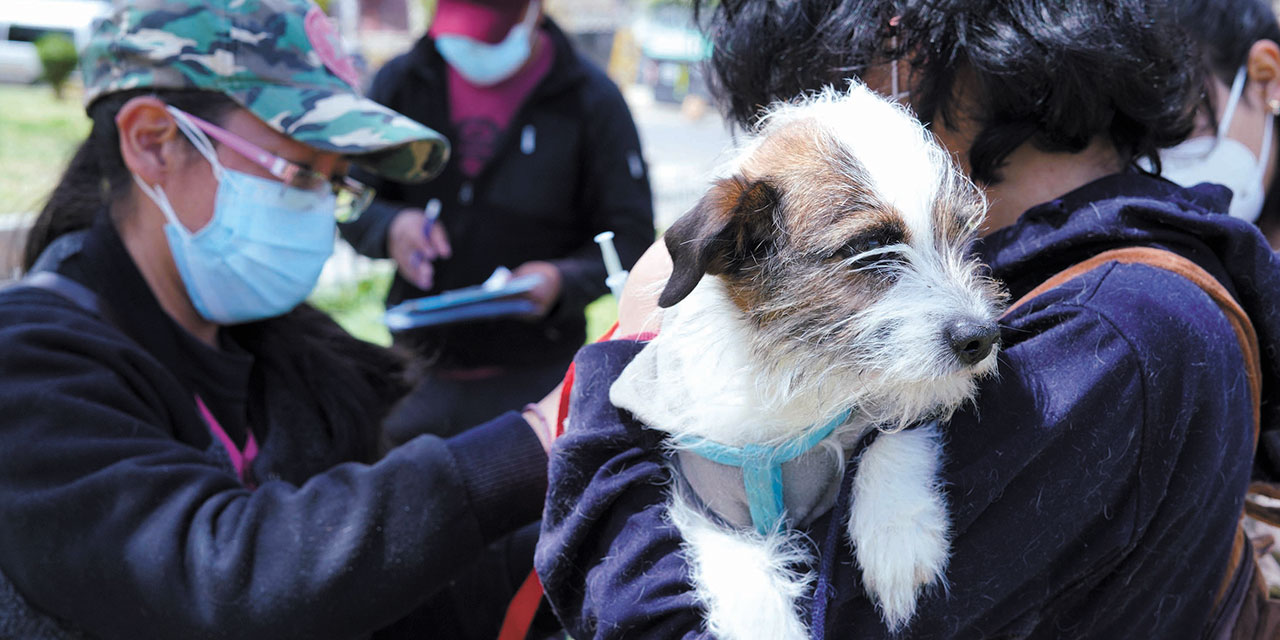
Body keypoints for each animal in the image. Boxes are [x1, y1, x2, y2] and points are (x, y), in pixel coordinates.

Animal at [609, 83, 1008, 634]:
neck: (795, 369)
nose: (981, 337)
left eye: (961, 236)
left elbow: (889, 429)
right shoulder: (711, 507)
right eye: (870, 248)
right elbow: (748, 587)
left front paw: (897, 536)